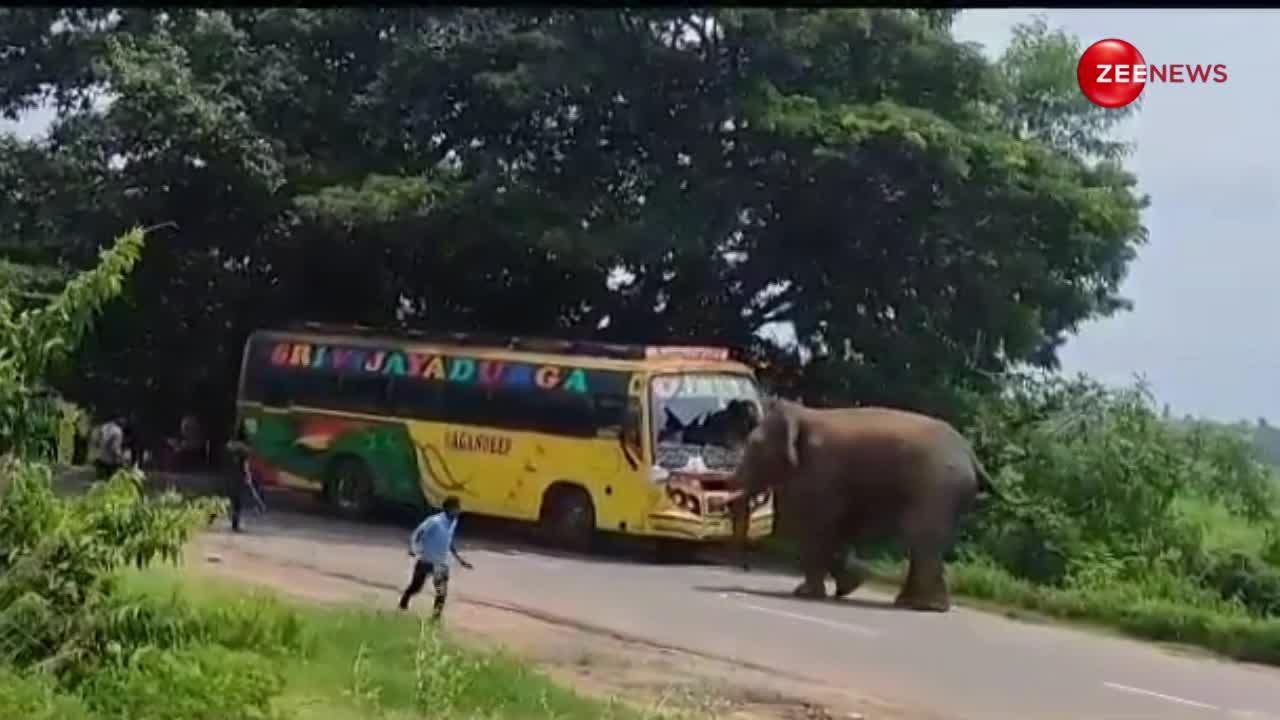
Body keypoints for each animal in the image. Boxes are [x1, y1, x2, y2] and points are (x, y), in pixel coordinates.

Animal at [732, 397, 998, 609]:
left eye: (754, 446)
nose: (744, 569)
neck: (805, 414)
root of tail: (971, 456)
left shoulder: (820, 471)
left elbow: (816, 525)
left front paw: (805, 594)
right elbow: (836, 526)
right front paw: (850, 585)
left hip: (937, 487)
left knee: (920, 536)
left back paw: (924, 606)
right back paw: (911, 604)